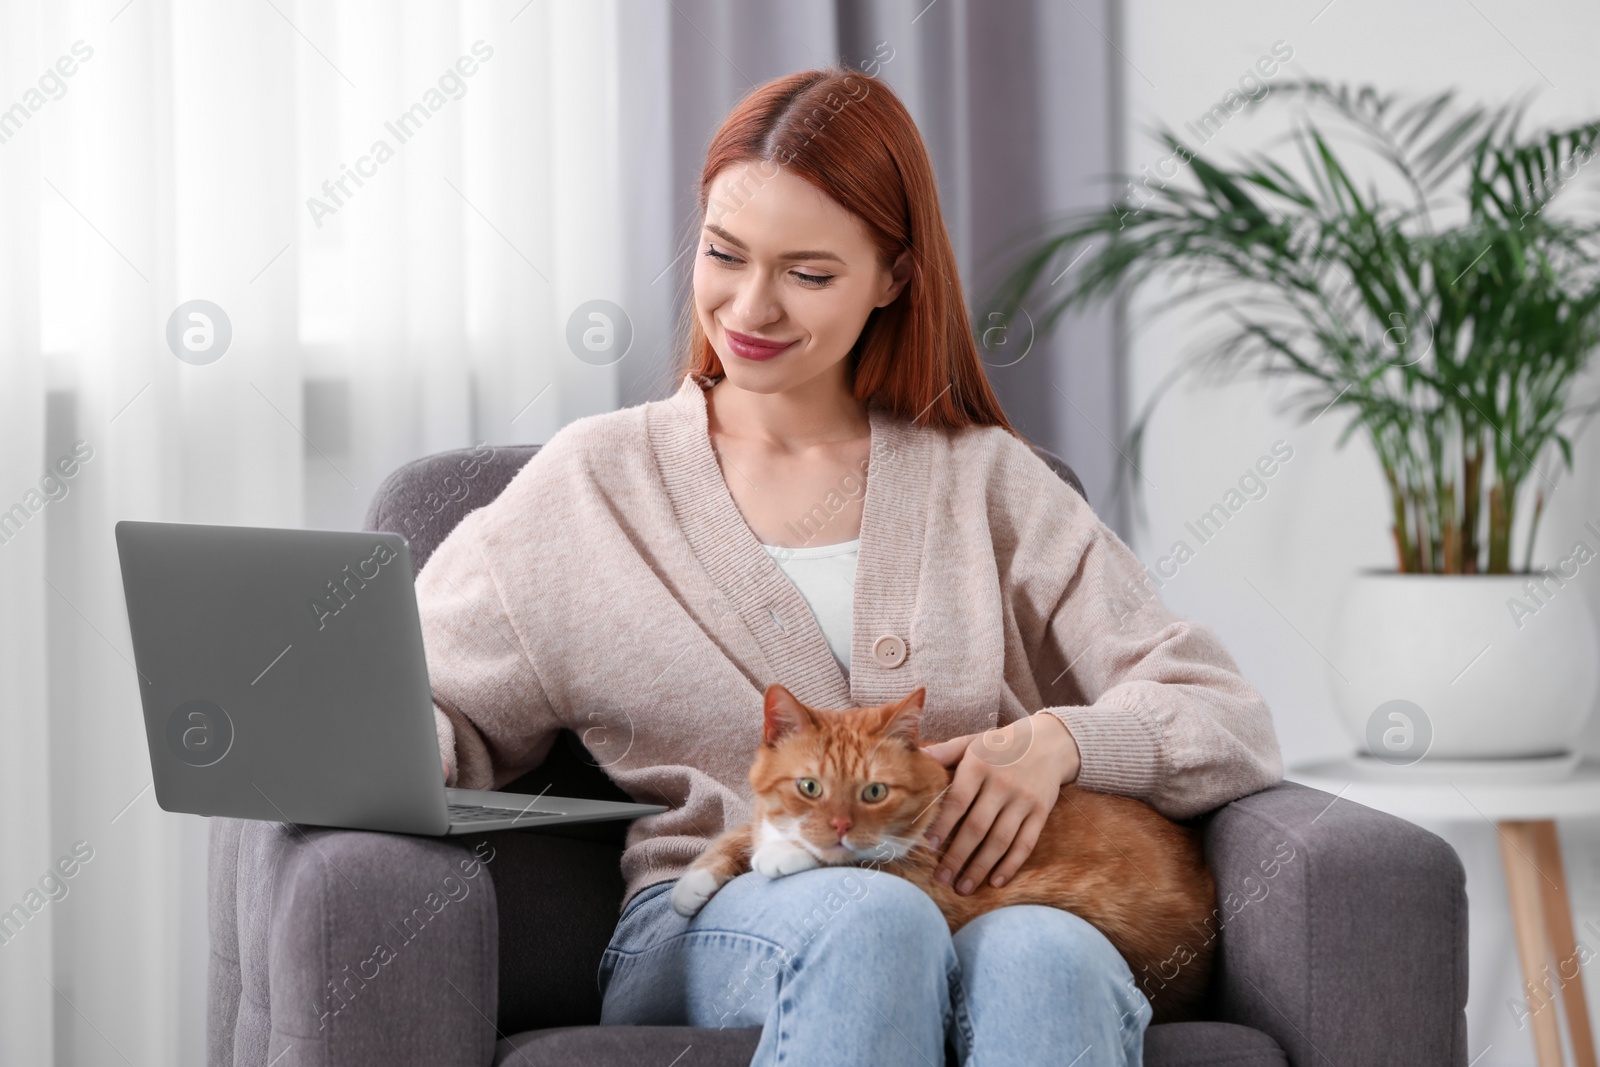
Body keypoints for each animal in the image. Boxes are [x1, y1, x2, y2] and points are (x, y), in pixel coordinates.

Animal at [672, 681, 1209, 1023]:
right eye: (809, 787)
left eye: (874, 792)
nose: (840, 826)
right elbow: (743, 832)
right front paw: (694, 880)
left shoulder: (939, 886)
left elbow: (859, 860)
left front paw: (789, 854)